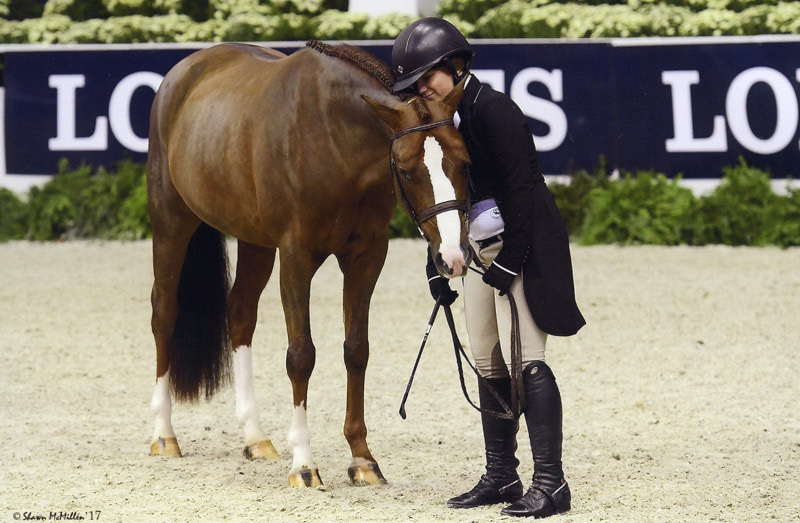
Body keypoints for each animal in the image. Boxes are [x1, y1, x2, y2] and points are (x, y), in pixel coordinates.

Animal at [147, 43, 472, 490]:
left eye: (465, 162)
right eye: (407, 171)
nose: (454, 259)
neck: (332, 137)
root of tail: (184, 70)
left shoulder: (367, 257)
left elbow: (356, 350)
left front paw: (362, 459)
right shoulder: (297, 256)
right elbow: (301, 356)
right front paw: (303, 462)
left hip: (254, 241)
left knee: (240, 313)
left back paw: (255, 438)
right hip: (171, 220)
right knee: (165, 312)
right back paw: (164, 434)